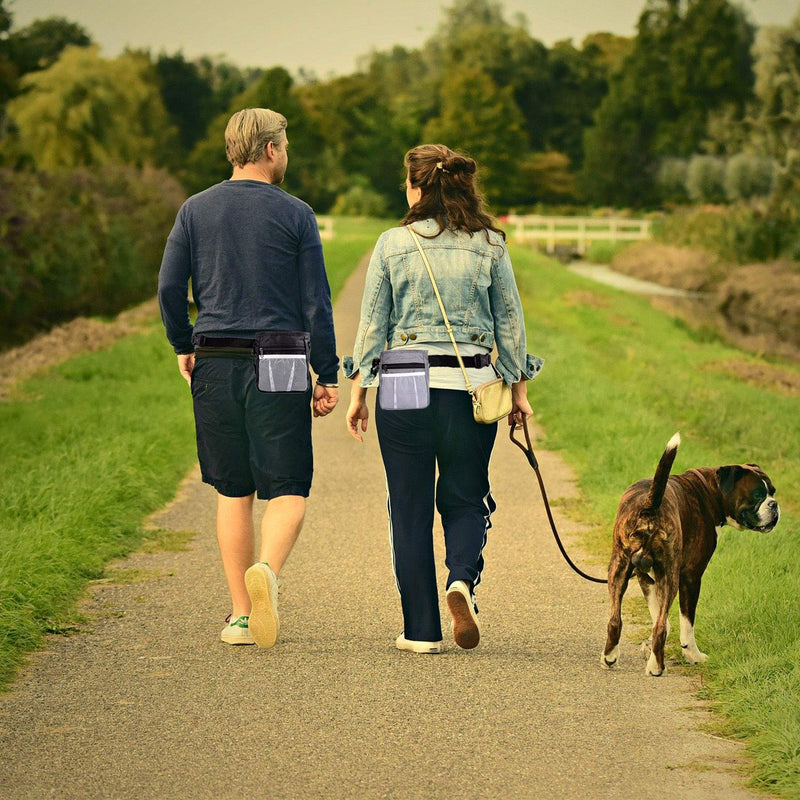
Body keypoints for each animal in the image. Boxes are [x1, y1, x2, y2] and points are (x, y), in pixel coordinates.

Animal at [604, 432, 780, 676]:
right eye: (757, 495)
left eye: (772, 492)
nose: (774, 505)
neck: (710, 491)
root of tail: (650, 505)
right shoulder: (691, 577)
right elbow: (685, 624)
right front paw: (693, 655)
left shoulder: (644, 575)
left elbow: (660, 617)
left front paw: (648, 647)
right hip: (670, 576)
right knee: (660, 627)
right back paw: (657, 667)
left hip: (619, 569)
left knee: (615, 619)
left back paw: (610, 657)